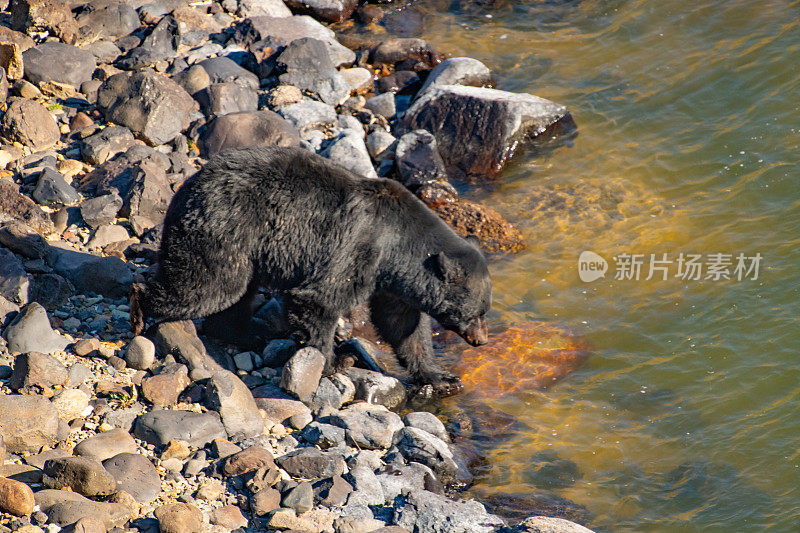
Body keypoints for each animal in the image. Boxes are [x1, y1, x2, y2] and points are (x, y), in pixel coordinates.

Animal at [133, 144, 488, 390]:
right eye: (475, 312)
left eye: (485, 311)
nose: (481, 340)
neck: (397, 246)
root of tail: (184, 188)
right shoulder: (359, 248)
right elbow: (319, 301)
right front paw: (335, 361)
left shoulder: (390, 282)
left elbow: (403, 325)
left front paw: (441, 376)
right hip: (227, 231)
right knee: (208, 285)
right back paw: (139, 307)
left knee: (234, 296)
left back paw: (248, 334)